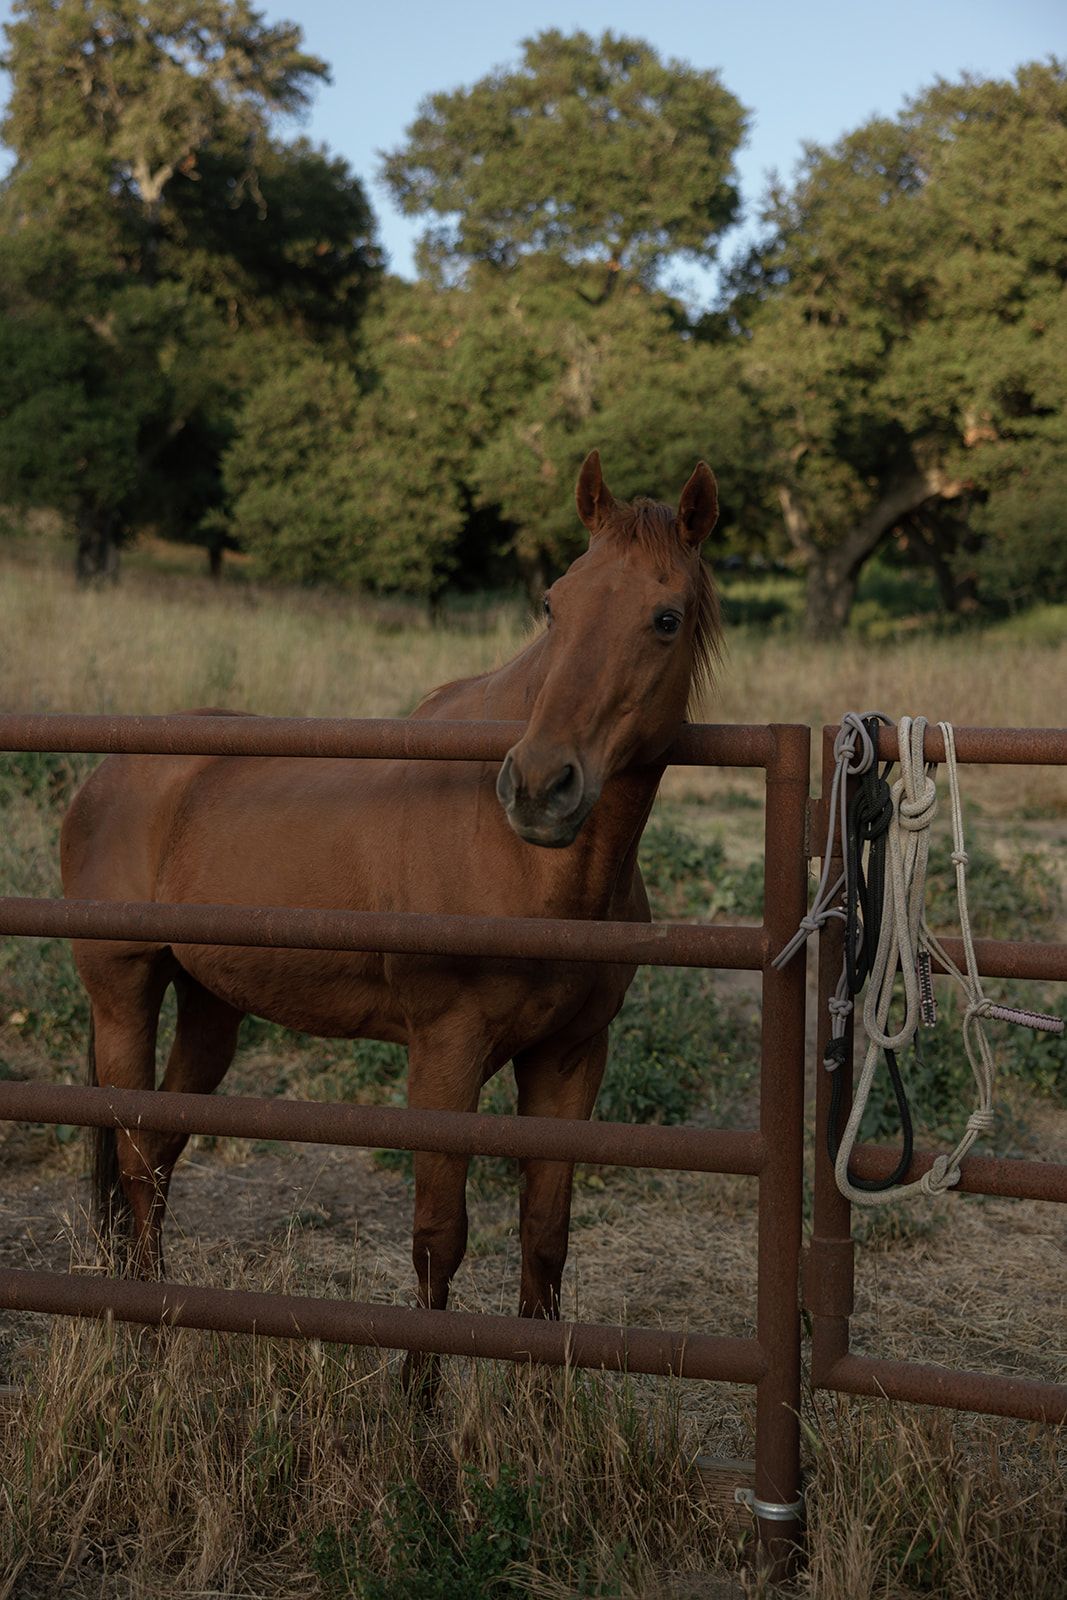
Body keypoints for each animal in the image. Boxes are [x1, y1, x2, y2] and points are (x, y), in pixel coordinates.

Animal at [61, 451, 722, 1332]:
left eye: (664, 619)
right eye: (553, 605)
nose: (539, 787)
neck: (525, 867)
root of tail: (108, 773)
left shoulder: (571, 1057)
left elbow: (545, 1239)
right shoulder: (444, 1055)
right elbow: (438, 1241)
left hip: (210, 1006)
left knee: (162, 1155)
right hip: (123, 991)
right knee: (137, 1160)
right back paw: (143, 1334)